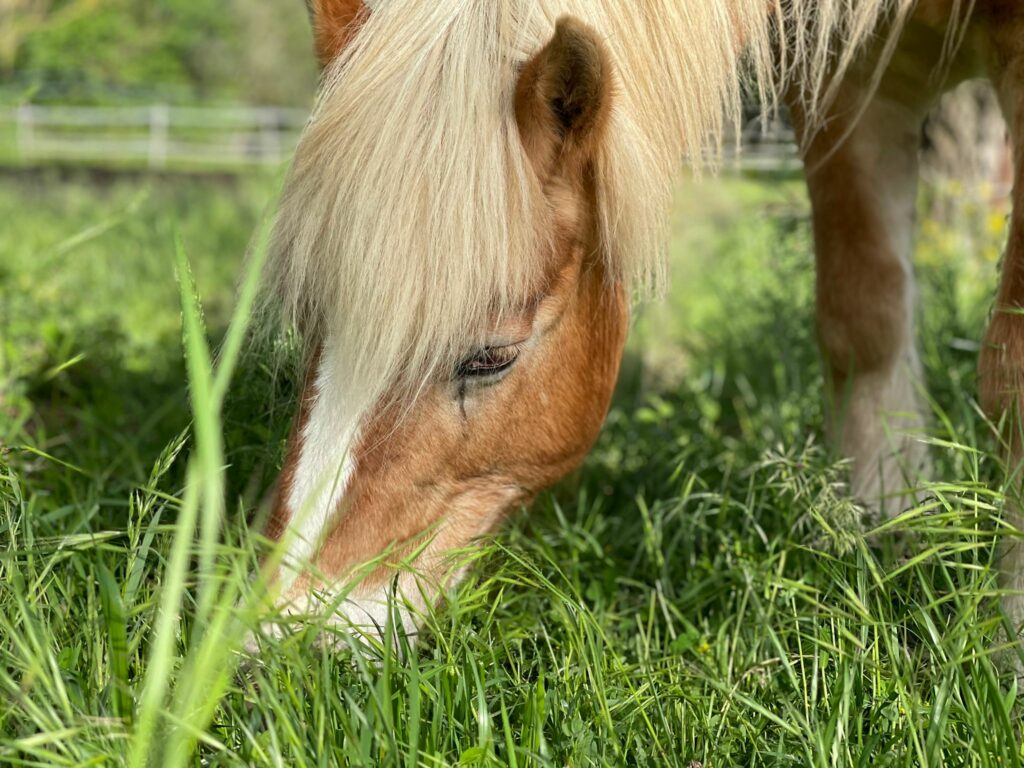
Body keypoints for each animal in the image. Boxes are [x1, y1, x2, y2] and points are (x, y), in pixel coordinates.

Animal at [260, 1, 1024, 643]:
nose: (285, 636)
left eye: (491, 357)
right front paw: (884, 529)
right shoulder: (845, 71)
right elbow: (864, 315)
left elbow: (1008, 369)